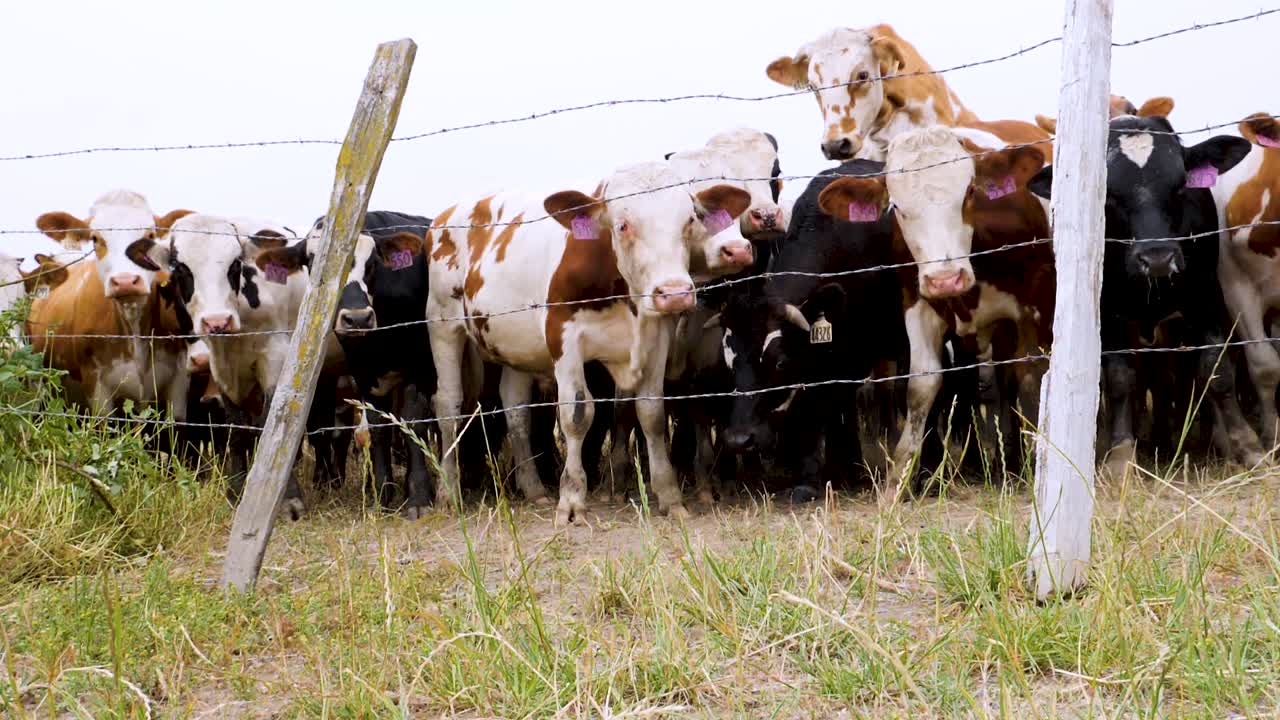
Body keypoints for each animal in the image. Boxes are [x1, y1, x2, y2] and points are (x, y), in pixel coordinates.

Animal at [426, 162, 752, 525]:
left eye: (689, 221)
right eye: (623, 225)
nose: (674, 293)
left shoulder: (656, 339)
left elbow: (651, 414)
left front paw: (670, 497)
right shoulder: (564, 338)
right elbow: (578, 414)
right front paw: (571, 500)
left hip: (515, 344)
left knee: (516, 409)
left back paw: (534, 488)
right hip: (442, 325)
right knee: (449, 405)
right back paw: (448, 491)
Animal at [817, 126, 1053, 492]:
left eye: (970, 191)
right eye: (896, 205)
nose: (946, 279)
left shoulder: (1037, 305)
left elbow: (1032, 379)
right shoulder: (918, 306)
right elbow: (921, 388)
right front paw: (897, 483)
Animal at [1028, 99, 1263, 474]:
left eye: (1181, 185)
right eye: (1108, 195)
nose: (1157, 258)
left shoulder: (1206, 295)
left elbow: (1216, 370)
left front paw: (1246, 443)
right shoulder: (1106, 311)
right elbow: (1120, 379)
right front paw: (1121, 454)